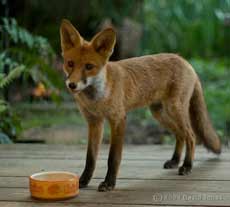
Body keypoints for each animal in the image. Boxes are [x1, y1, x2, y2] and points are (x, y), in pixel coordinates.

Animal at [59, 19, 221, 192]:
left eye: (89, 67)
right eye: (70, 64)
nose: (72, 85)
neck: (97, 98)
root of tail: (185, 61)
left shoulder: (118, 119)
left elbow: (113, 157)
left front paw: (109, 183)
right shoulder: (94, 122)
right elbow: (90, 158)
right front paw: (83, 181)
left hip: (174, 109)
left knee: (191, 136)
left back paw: (187, 165)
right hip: (159, 114)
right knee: (180, 135)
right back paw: (175, 161)